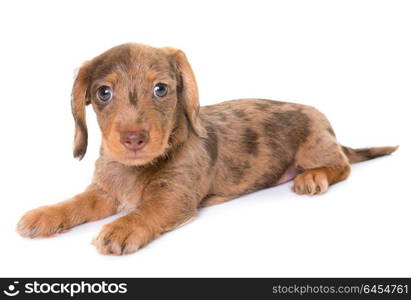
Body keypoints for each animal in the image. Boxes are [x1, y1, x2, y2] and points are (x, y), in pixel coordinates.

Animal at [16, 43, 400, 254]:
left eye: (160, 89)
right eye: (103, 93)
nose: (133, 139)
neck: (134, 169)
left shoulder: (173, 197)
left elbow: (146, 211)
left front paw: (123, 227)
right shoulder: (104, 193)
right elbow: (76, 203)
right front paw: (45, 215)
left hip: (314, 145)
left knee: (342, 165)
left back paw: (313, 177)